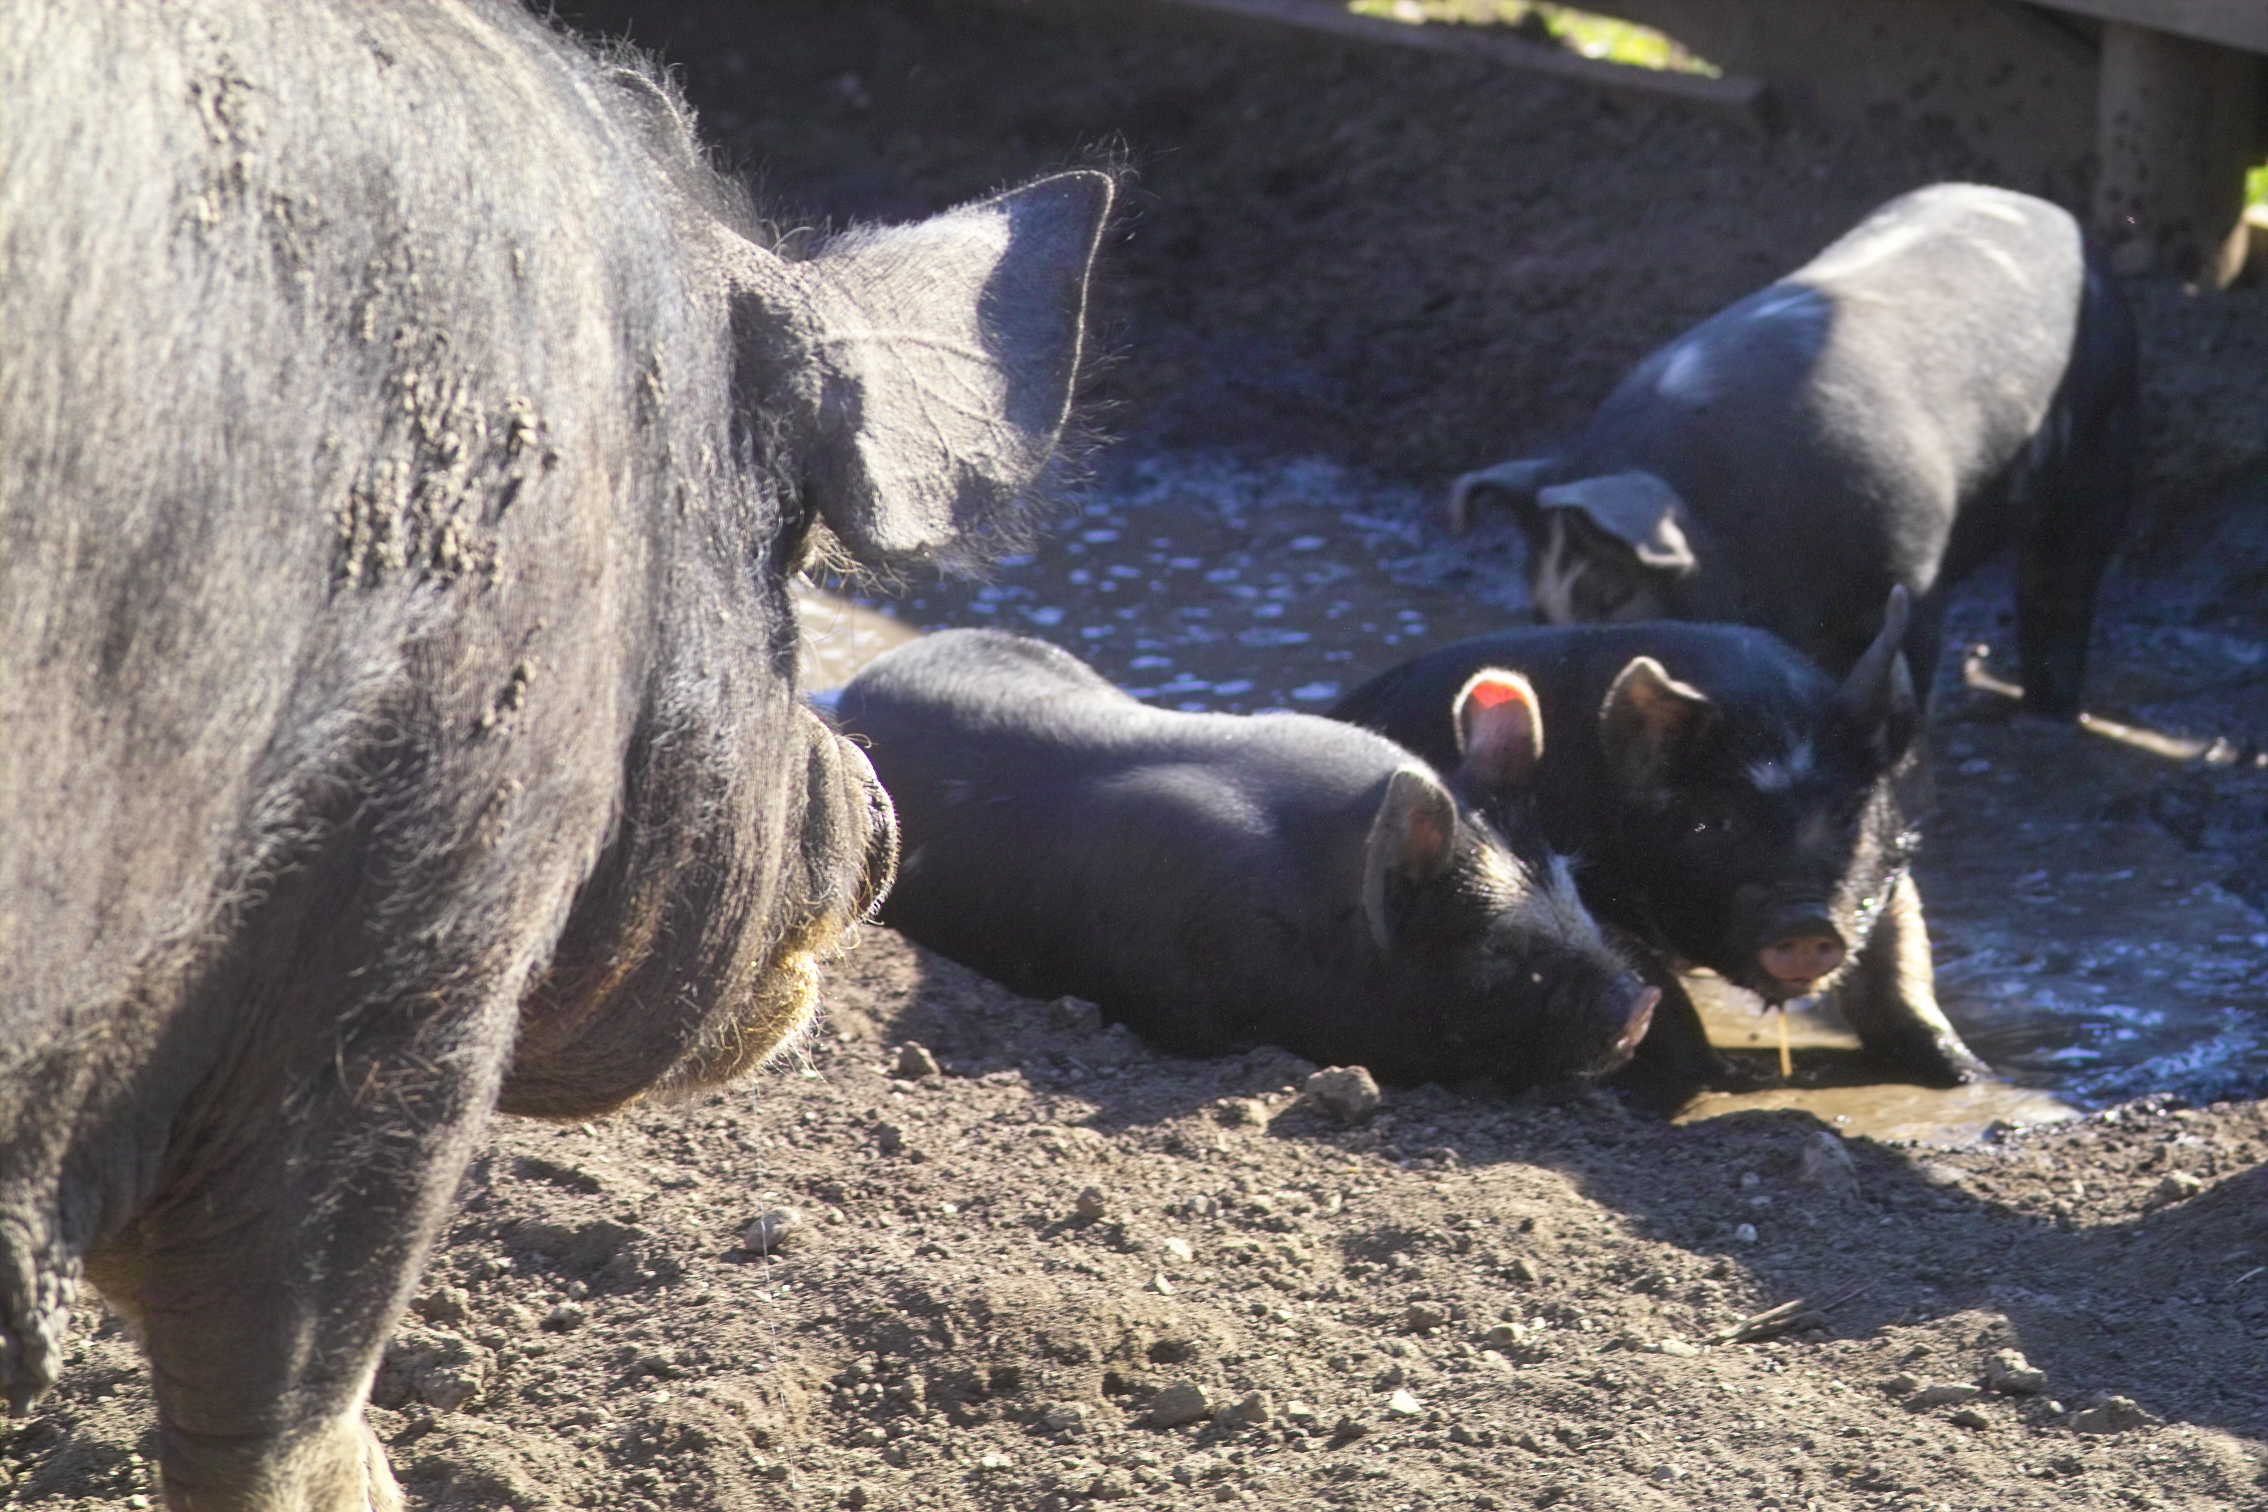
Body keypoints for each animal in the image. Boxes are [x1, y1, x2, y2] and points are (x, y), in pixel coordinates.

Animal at [1331, 593, 1992, 1086]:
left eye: (1849, 816)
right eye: (1716, 821)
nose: (1808, 923)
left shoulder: (1893, 869)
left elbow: (1900, 969)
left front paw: (1968, 1074)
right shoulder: (1589, 893)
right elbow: (1660, 993)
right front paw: (1730, 1079)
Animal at [1449, 183, 2138, 720]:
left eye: (1612, 598)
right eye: (1539, 608)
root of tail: (2045, 209)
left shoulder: (1915, 569)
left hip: (2103, 444)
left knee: (2063, 575)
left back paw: (2047, 713)